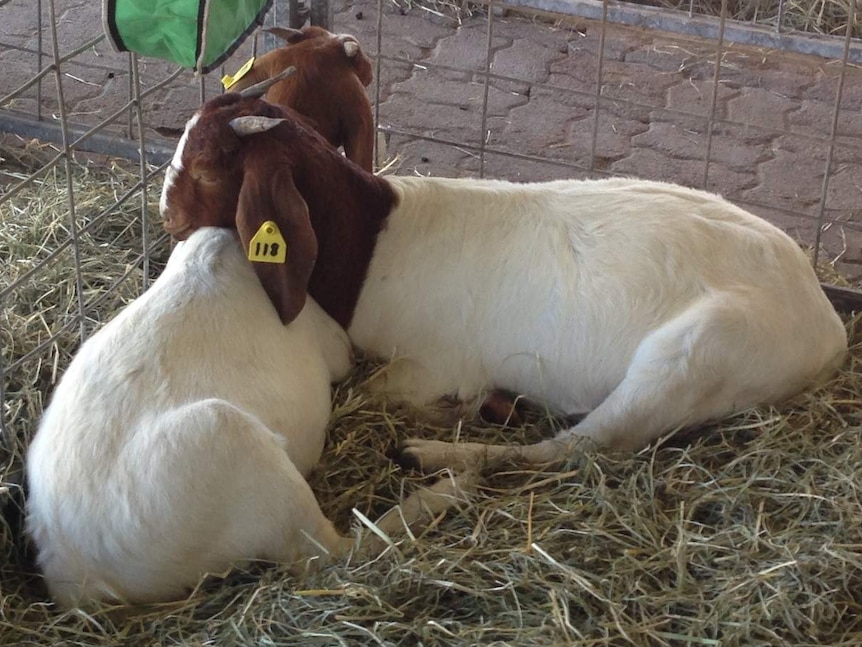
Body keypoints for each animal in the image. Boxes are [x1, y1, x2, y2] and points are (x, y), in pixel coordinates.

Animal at [159, 93, 848, 474]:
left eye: (205, 167)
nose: (166, 216)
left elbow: (370, 391)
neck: (379, 236)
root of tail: (825, 323)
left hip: (696, 356)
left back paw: (432, 454)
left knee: (581, 446)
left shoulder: (431, 366)